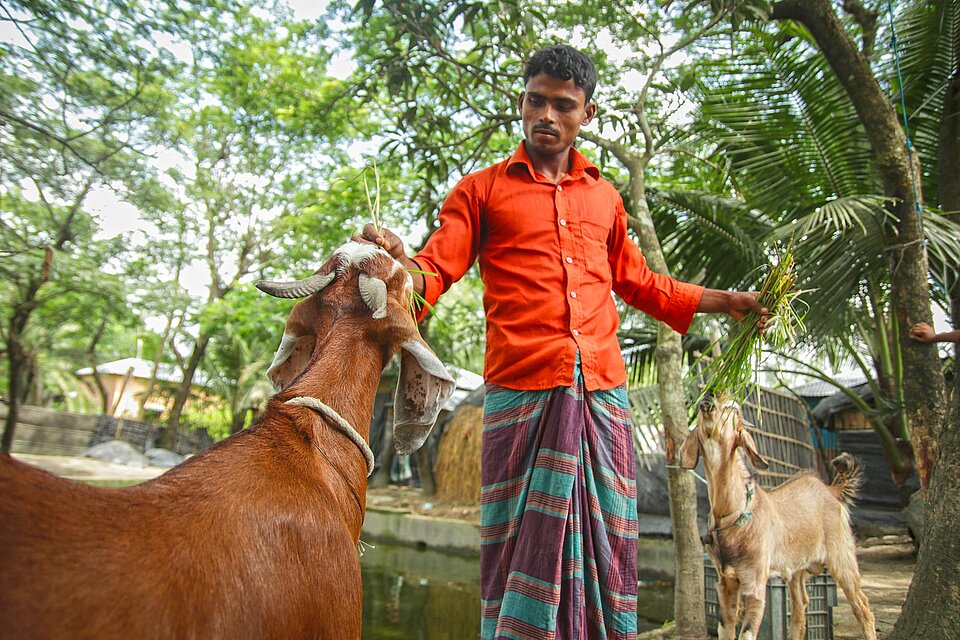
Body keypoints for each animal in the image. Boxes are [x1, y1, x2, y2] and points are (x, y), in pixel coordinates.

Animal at [678, 393, 876, 640]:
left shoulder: (755, 581)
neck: (732, 513)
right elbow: (726, 630)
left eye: (733, 410)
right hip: (797, 569)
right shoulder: (725, 582)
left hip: (842, 557)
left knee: (862, 606)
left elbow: (747, 633)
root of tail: (831, 490)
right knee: (801, 609)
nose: (708, 397)